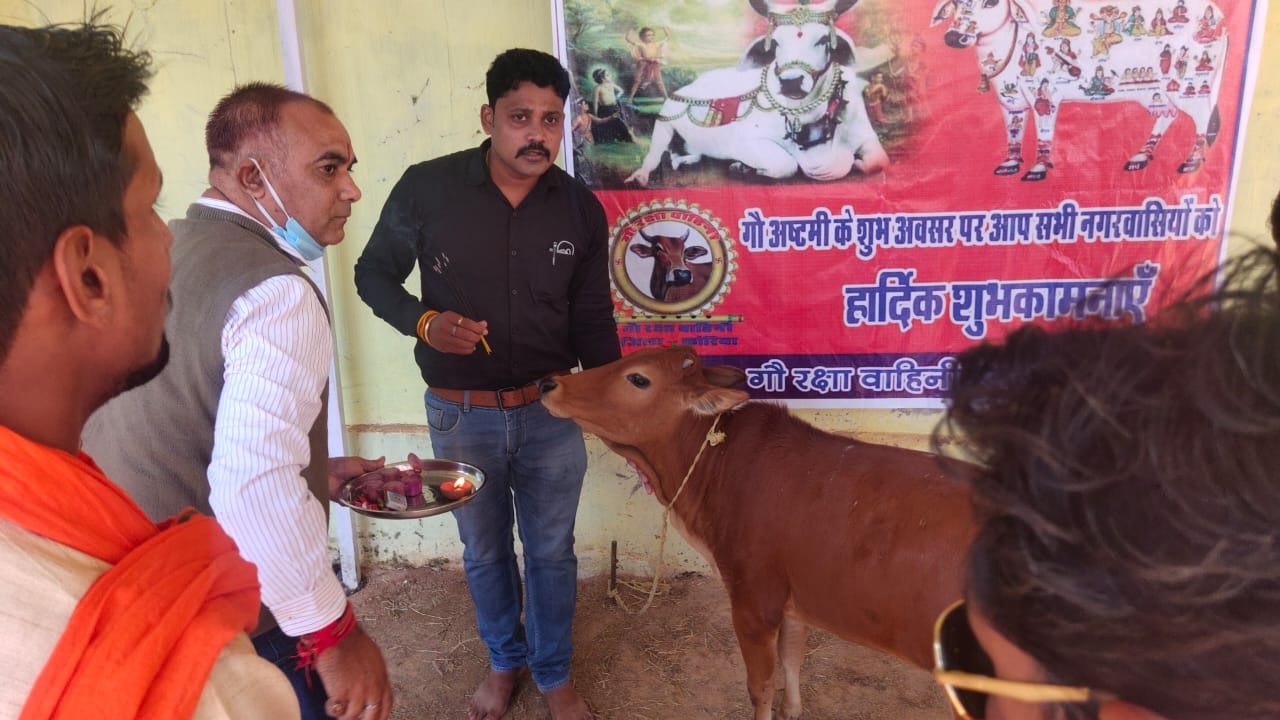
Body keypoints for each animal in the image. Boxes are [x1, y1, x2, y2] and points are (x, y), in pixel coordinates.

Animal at [537, 343, 967, 717]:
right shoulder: (795, 600)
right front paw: (792, 710)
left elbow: (760, 686)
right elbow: (792, 658)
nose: (548, 384)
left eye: (638, 379)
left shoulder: (753, 603)